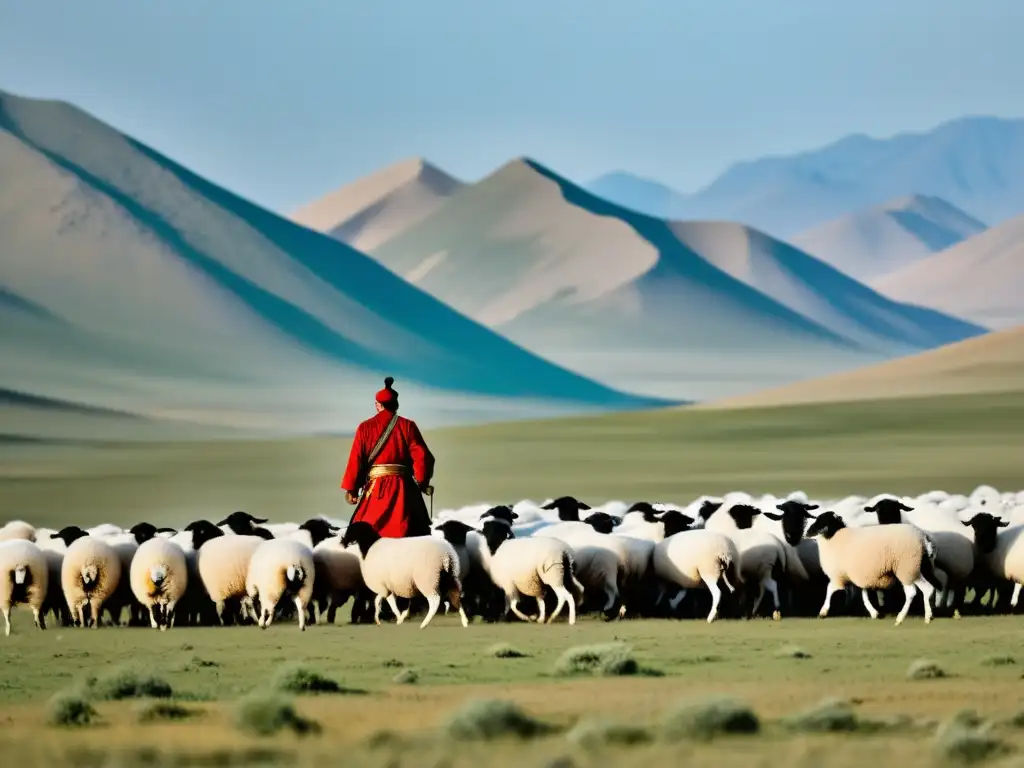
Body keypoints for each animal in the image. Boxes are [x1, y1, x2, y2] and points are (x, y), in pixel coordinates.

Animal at [339, 520, 468, 626]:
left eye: (353, 529)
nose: (343, 542)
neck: (369, 547)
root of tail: (446, 554)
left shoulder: (382, 586)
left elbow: (378, 601)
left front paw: (379, 619)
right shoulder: (391, 586)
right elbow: (392, 603)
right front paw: (400, 618)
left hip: (428, 579)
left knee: (435, 601)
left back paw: (424, 624)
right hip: (449, 576)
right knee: (455, 597)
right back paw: (464, 621)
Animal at [802, 512, 937, 626]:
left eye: (820, 521)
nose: (804, 533)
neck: (834, 537)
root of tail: (923, 537)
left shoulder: (839, 575)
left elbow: (829, 589)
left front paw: (823, 612)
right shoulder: (860, 574)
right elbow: (864, 594)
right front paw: (874, 613)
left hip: (906, 567)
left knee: (911, 592)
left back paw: (900, 618)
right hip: (916, 569)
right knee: (928, 589)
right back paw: (928, 617)